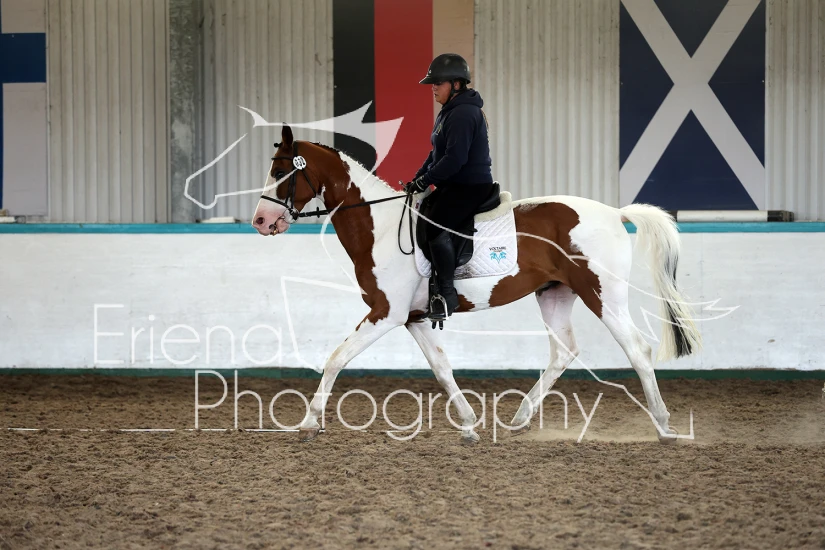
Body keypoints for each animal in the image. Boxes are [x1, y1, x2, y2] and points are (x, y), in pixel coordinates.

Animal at [251, 125, 702, 444]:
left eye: (280, 171)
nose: (260, 220)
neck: (378, 227)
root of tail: (613, 212)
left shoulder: (386, 313)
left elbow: (336, 358)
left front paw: (309, 422)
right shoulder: (413, 317)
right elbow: (441, 367)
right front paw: (469, 424)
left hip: (603, 294)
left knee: (637, 350)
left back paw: (665, 428)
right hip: (555, 294)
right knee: (564, 352)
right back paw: (519, 419)